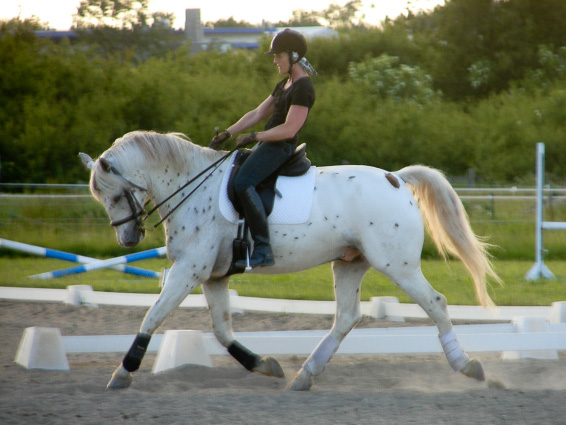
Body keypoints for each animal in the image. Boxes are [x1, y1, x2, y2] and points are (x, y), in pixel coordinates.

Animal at [81, 131, 502, 390]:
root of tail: (395, 178)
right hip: (350, 262)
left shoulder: (188, 271)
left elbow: (151, 318)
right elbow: (221, 330)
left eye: (115, 195)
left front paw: (122, 373)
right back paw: (305, 375)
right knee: (346, 317)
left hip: (396, 265)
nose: (128, 239)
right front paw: (264, 364)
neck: (191, 185)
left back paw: (467, 366)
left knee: (436, 303)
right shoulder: (213, 276)